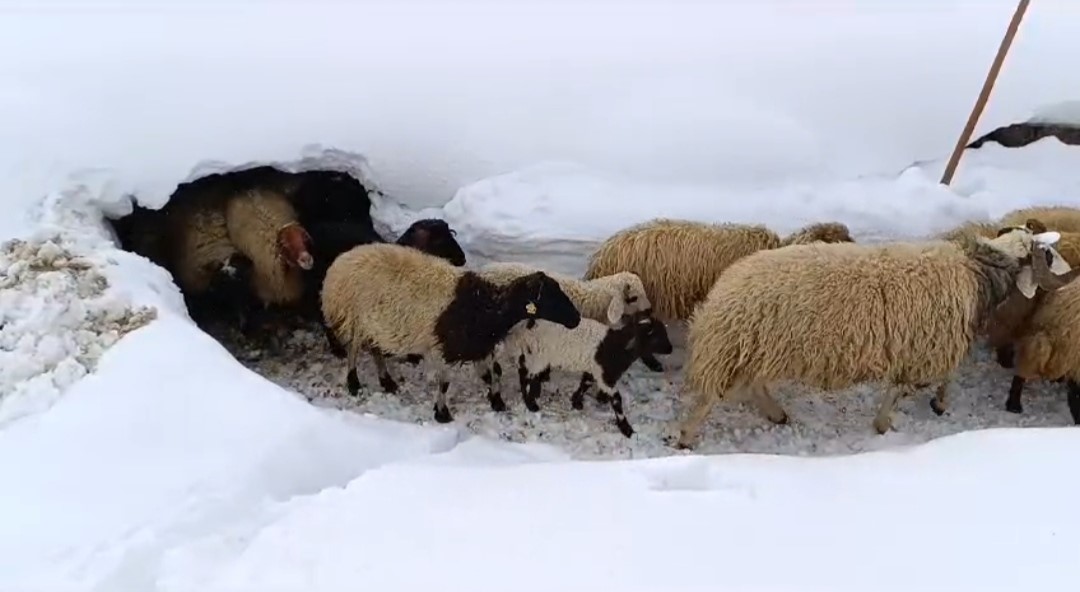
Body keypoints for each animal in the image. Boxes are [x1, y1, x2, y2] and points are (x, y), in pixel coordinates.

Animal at [317, 243, 583, 423]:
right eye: (551, 296)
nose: (577, 319)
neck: (487, 308)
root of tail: (341, 261)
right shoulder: (447, 346)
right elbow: (445, 383)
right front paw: (442, 413)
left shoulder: (477, 344)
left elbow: (492, 374)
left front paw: (497, 400)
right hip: (355, 317)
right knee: (353, 349)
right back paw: (353, 383)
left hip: (375, 323)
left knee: (375, 349)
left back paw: (387, 381)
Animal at [492, 311, 673, 436]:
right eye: (658, 336)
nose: (671, 349)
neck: (618, 347)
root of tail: (522, 329)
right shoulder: (605, 375)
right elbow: (616, 400)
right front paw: (626, 428)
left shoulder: (594, 369)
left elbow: (585, 383)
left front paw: (576, 401)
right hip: (537, 356)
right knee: (525, 376)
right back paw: (531, 404)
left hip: (532, 356)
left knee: (524, 372)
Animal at [673, 226, 1062, 449]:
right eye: (1045, 253)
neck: (978, 271)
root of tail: (723, 291)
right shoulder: (930, 344)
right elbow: (912, 386)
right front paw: (892, 421)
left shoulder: (922, 344)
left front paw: (928, 406)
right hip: (742, 345)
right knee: (712, 397)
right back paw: (686, 437)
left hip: (758, 347)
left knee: (752, 385)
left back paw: (776, 414)